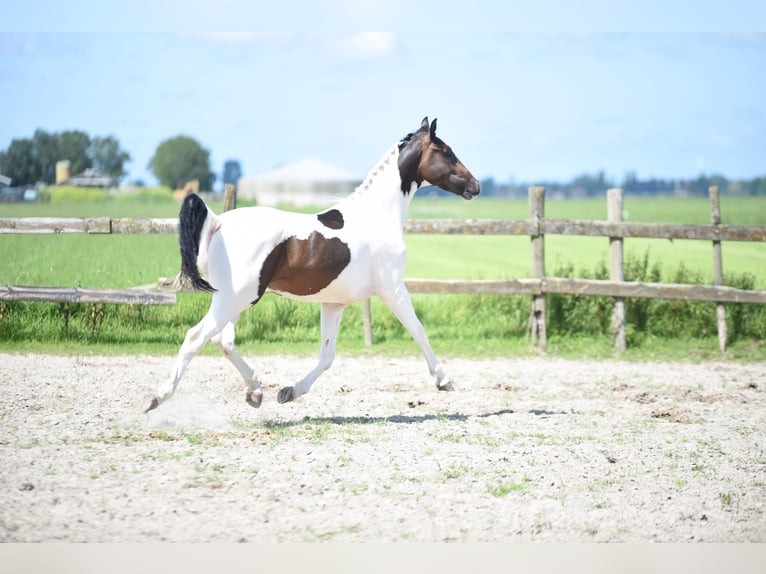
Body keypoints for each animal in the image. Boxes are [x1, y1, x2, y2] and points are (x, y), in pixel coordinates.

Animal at [144, 117, 480, 414]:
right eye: (446, 151)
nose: (475, 186)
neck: (378, 215)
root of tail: (217, 222)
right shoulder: (393, 289)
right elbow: (419, 331)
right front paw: (444, 380)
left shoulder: (333, 304)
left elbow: (327, 355)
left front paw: (289, 392)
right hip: (236, 298)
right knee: (196, 337)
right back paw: (158, 397)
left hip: (233, 299)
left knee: (223, 340)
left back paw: (255, 391)